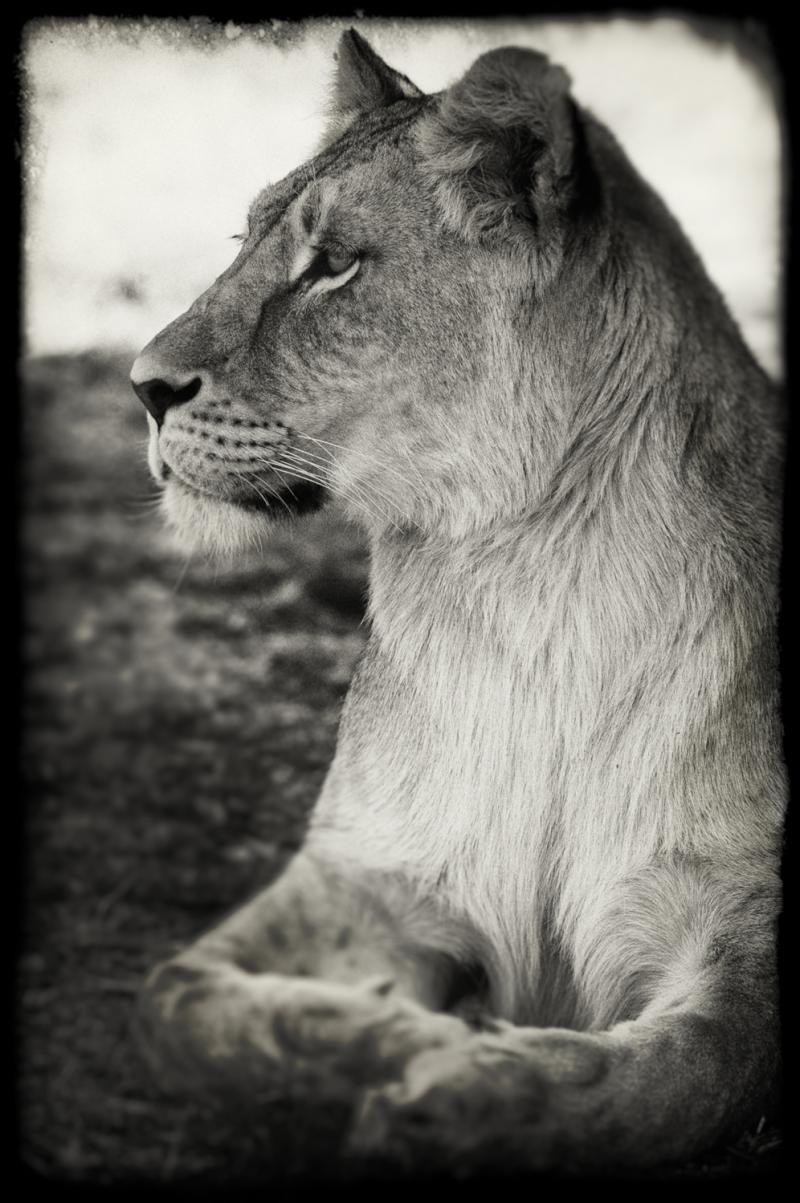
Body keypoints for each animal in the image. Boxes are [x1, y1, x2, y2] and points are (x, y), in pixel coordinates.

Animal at [130, 29, 785, 1173]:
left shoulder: (740, 921)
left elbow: (677, 1076)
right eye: (243, 240)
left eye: (333, 263)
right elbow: (175, 1007)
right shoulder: (359, 873)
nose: (141, 385)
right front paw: (388, 1038)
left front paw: (462, 1088)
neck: (528, 584)